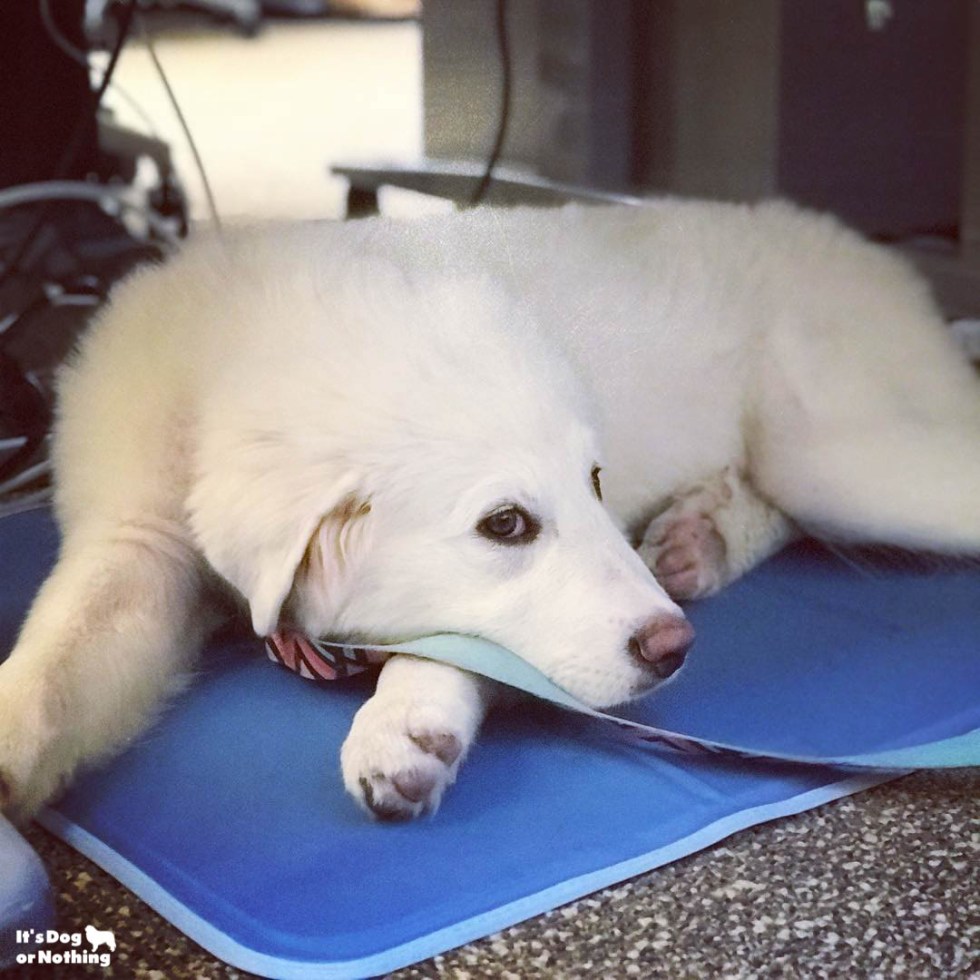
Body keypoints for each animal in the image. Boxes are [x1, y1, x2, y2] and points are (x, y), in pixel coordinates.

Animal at [1, 201, 980, 820]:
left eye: (596, 480)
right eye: (505, 525)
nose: (675, 649)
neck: (231, 362)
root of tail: (878, 258)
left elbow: (463, 650)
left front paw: (405, 724)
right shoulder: (136, 539)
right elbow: (60, 660)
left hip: (838, 452)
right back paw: (698, 534)